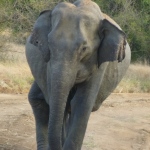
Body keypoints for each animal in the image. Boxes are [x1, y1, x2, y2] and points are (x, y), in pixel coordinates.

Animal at [25, 0, 131, 149]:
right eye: (49, 45)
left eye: (84, 49)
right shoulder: (49, 65)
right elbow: (57, 102)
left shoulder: (100, 62)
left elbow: (82, 104)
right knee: (40, 101)